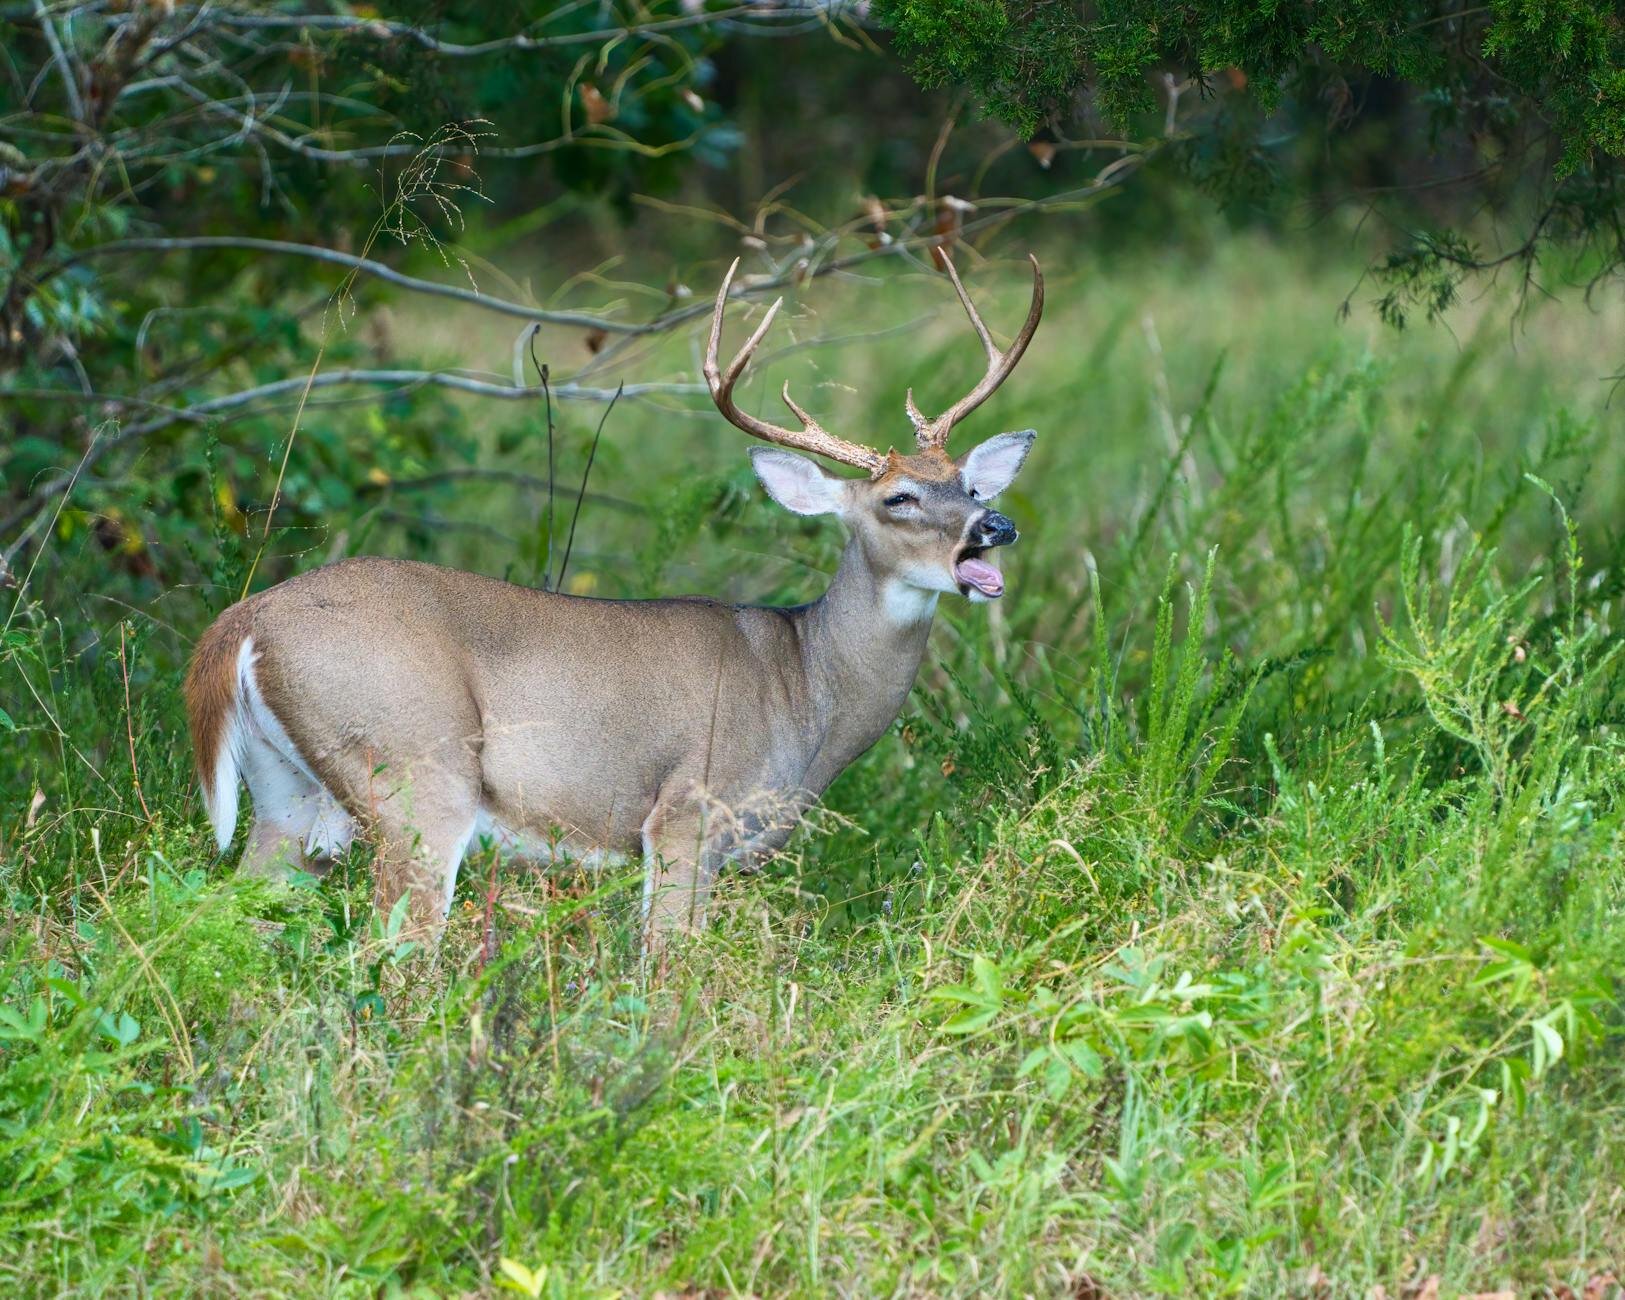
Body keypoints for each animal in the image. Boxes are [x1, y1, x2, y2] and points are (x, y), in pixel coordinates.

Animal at [181, 251, 1040, 942]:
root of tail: (243, 621)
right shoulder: (688, 813)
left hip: (288, 795)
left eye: (967, 483)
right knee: (395, 952)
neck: (806, 688)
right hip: (416, 771)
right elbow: (667, 967)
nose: (995, 525)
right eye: (898, 498)